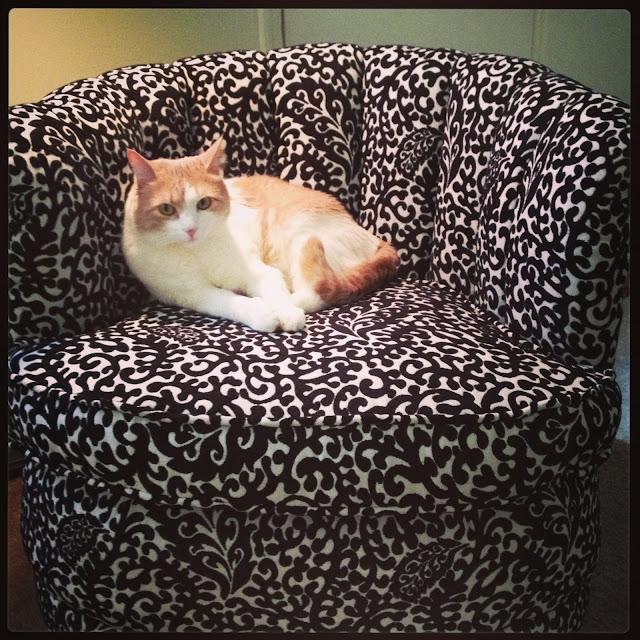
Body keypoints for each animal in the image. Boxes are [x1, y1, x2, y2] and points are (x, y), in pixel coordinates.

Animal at [122, 137, 398, 332]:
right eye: (166, 209)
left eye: (204, 203)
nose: (191, 229)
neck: (197, 253)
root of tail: (377, 240)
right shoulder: (191, 294)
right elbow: (225, 301)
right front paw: (262, 313)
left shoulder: (258, 270)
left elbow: (276, 291)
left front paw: (284, 312)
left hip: (296, 236)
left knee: (317, 291)